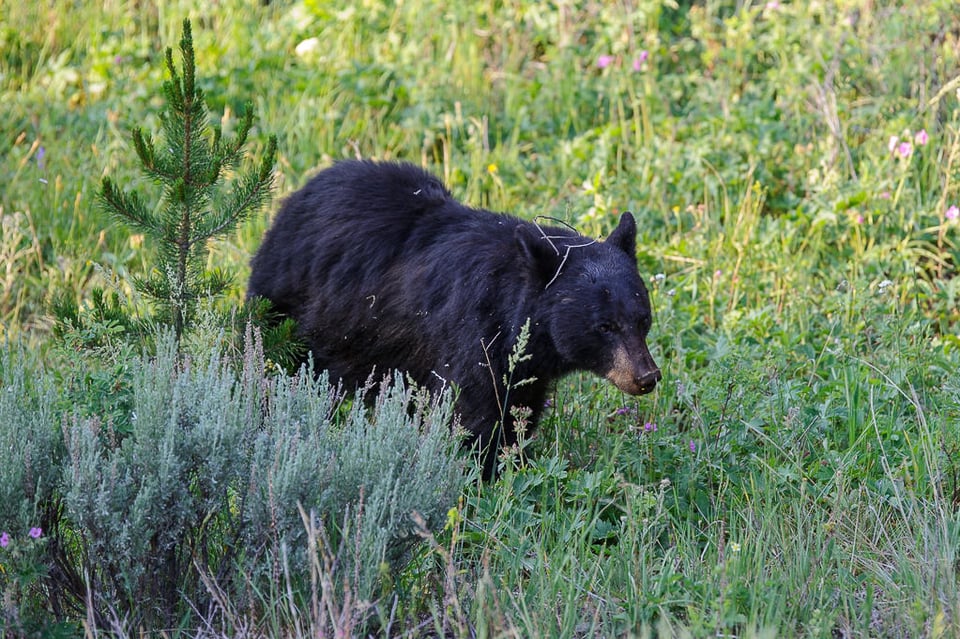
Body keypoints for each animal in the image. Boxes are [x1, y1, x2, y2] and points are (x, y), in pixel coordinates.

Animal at [248, 162, 660, 478]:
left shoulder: (523, 365)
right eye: (604, 326)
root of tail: (295, 197)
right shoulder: (471, 337)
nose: (646, 377)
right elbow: (473, 415)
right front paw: (482, 473)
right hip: (288, 305)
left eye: (642, 319)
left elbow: (516, 409)